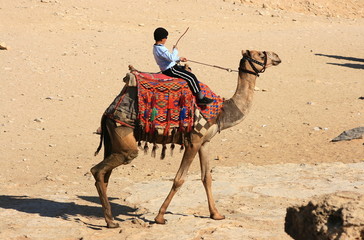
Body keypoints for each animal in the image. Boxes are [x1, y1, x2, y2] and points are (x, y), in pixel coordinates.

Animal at [90, 49, 282, 228]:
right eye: (260, 53)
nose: (277, 57)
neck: (222, 111)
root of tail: (107, 112)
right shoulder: (193, 141)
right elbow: (179, 179)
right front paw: (160, 217)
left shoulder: (205, 142)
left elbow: (207, 178)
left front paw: (216, 214)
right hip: (123, 134)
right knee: (100, 169)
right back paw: (111, 222)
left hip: (112, 140)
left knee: (105, 174)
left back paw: (109, 219)